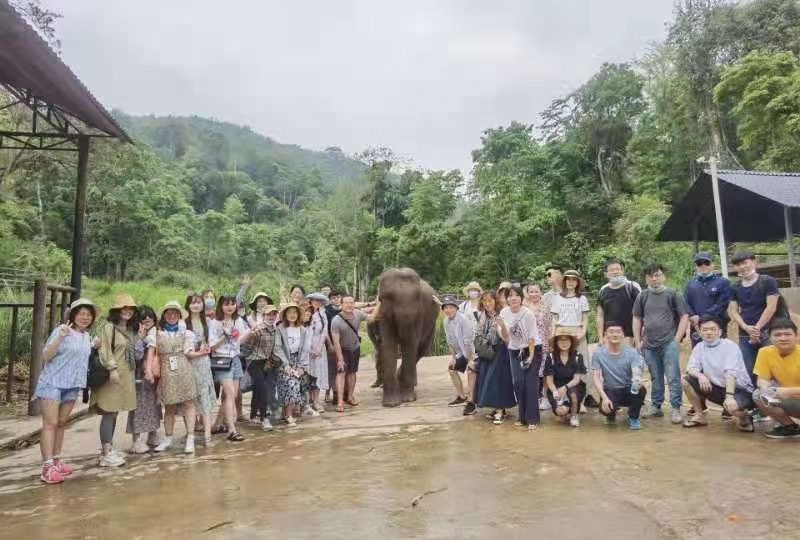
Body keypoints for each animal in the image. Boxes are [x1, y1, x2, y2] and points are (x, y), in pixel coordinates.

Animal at [374, 268, 438, 408]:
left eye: (418, 299)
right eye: (388, 298)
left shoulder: (419, 316)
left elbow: (410, 344)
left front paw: (408, 399)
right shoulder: (384, 314)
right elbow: (389, 344)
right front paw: (391, 404)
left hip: (432, 324)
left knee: (421, 349)